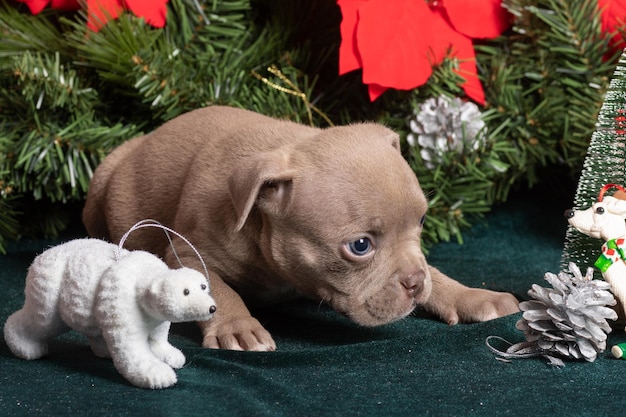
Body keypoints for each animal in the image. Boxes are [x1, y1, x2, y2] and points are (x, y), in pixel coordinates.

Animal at [83, 105, 516, 350]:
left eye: (422, 221)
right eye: (360, 246)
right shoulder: (186, 250)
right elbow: (217, 287)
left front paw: (468, 294)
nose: (414, 282)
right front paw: (238, 325)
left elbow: (438, 273)